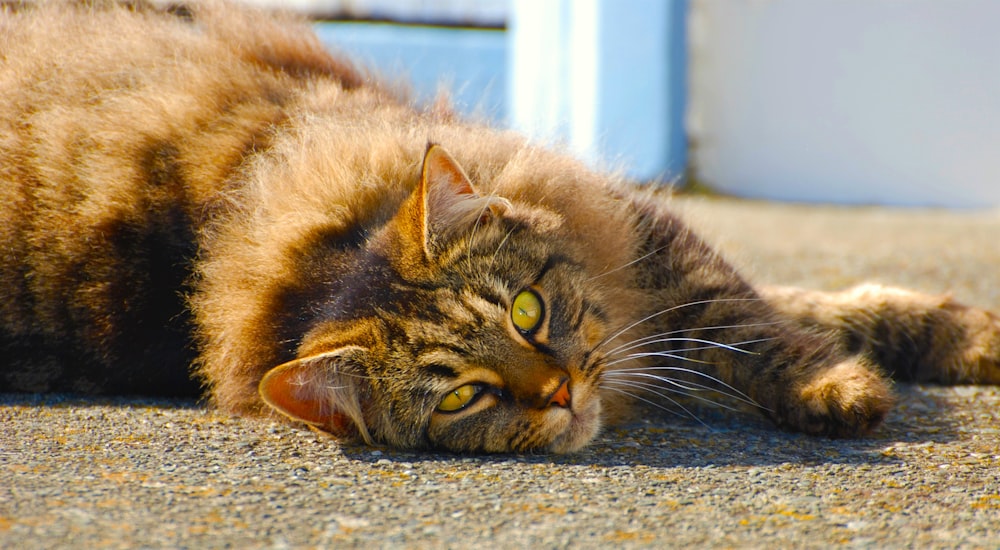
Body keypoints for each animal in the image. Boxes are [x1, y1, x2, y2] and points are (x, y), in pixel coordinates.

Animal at [1, 2, 1000, 454]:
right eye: (463, 397)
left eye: (526, 310)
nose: (558, 392)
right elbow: (766, 318)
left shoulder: (642, 240)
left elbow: (767, 316)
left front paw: (894, 359)